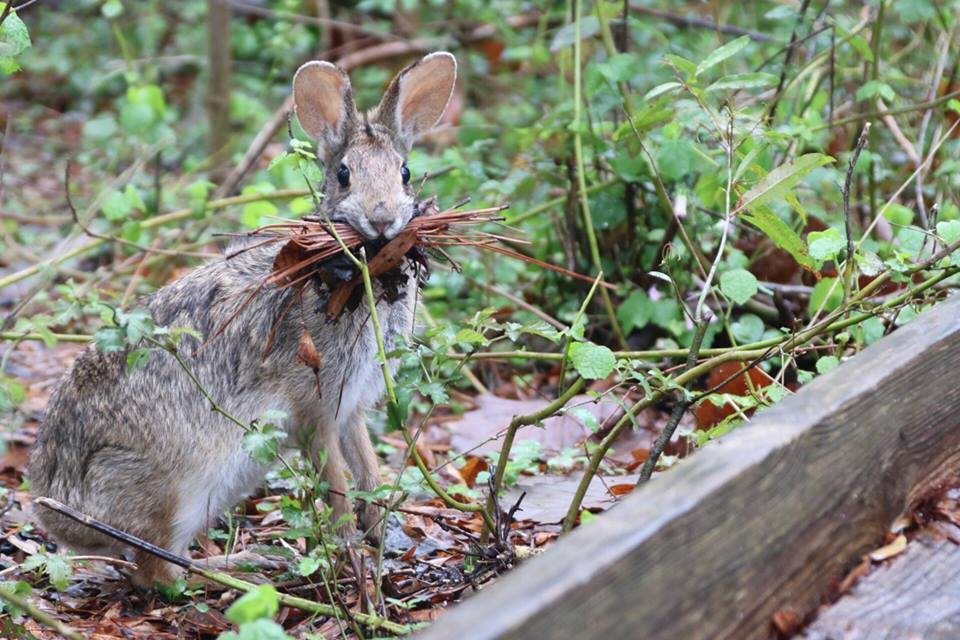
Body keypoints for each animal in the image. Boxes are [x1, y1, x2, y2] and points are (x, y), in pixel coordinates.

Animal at [30, 52, 458, 588]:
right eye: (343, 173)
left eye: (404, 171)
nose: (381, 219)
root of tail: (58, 512)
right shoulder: (316, 410)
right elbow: (337, 486)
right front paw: (350, 553)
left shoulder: (352, 409)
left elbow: (367, 471)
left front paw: (381, 536)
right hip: (174, 490)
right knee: (160, 574)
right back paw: (247, 570)